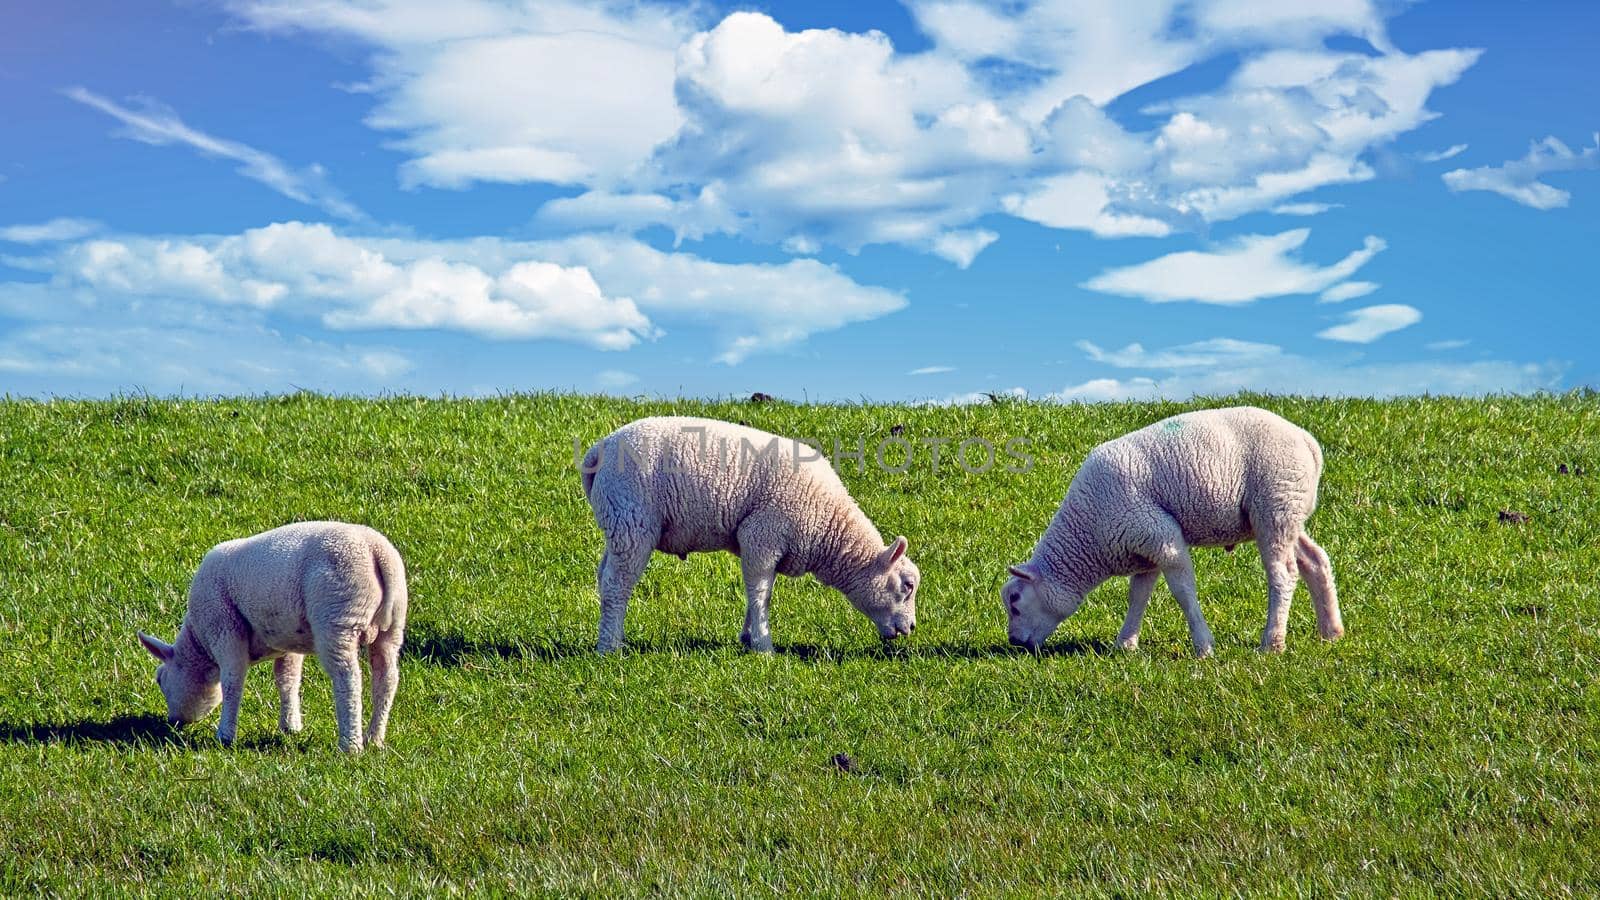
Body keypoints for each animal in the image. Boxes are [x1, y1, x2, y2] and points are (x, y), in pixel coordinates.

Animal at [135, 518, 409, 749]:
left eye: (160, 679)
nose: (173, 722)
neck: (199, 642)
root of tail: (376, 551)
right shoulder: (287, 642)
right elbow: (287, 679)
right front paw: (290, 725)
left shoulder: (224, 627)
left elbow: (232, 681)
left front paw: (225, 736)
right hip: (393, 625)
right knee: (386, 678)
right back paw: (374, 738)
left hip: (337, 617)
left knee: (348, 679)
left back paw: (350, 745)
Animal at [582, 413, 921, 650]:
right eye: (907, 585)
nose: (912, 628)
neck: (829, 524)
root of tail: (601, 449)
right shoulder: (762, 536)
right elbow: (761, 593)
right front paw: (763, 646)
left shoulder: (761, 545)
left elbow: (759, 590)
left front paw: (747, 638)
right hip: (633, 520)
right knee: (616, 584)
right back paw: (609, 647)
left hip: (618, 522)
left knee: (604, 576)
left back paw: (613, 635)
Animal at [1004, 405, 1344, 650]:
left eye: (1015, 602)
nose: (1015, 643)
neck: (1088, 533)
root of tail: (1307, 442)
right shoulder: (1142, 545)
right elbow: (1138, 596)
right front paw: (1125, 645)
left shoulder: (1160, 537)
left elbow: (1183, 592)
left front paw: (1204, 646)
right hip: (1288, 510)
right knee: (1315, 559)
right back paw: (1331, 632)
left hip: (1275, 505)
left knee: (1283, 574)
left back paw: (1272, 643)